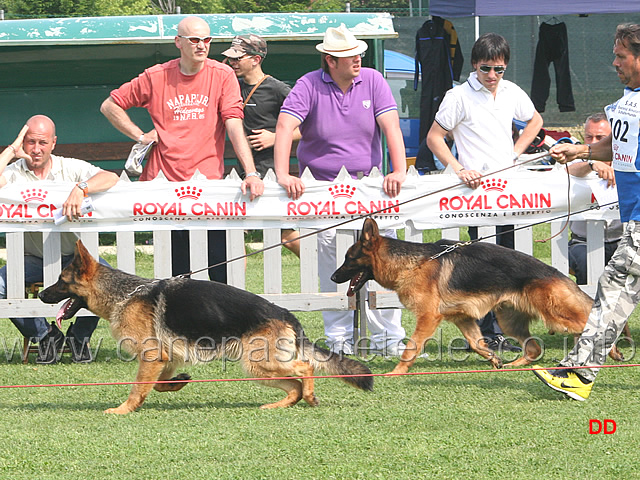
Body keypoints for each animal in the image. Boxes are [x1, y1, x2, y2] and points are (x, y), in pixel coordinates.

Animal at [37, 240, 372, 412]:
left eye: (60, 281)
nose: (40, 295)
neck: (124, 294)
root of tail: (285, 313)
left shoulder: (152, 357)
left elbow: (137, 388)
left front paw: (123, 410)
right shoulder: (166, 359)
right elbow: (156, 384)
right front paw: (179, 382)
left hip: (259, 363)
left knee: (306, 369)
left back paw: (310, 396)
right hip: (258, 370)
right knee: (295, 386)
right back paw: (279, 405)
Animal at [332, 218, 624, 376]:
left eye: (348, 258)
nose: (333, 278)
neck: (413, 263)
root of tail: (557, 273)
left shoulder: (428, 318)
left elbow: (411, 348)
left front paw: (396, 372)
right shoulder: (462, 318)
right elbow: (476, 343)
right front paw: (494, 359)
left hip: (555, 316)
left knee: (593, 325)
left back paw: (613, 350)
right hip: (509, 320)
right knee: (534, 348)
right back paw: (516, 365)